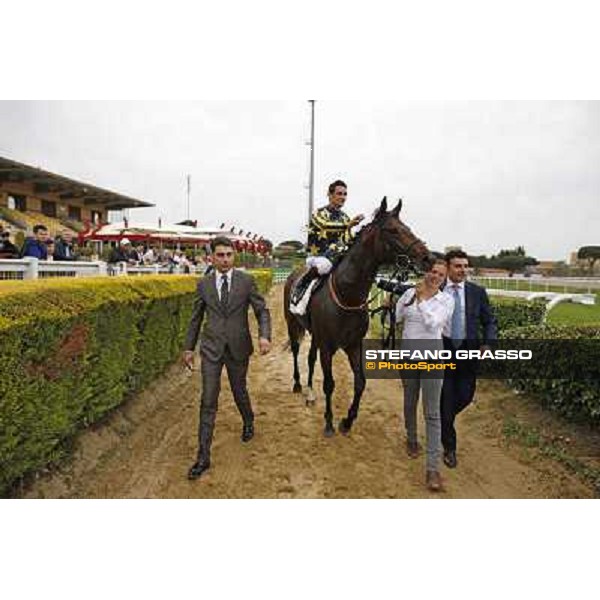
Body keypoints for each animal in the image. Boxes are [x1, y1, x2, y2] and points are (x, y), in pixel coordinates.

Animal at [284, 197, 434, 436]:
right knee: (297, 351)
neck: (348, 295)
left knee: (310, 358)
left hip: (315, 335)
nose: (428, 258)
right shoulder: (328, 346)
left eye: (407, 228)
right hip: (292, 324)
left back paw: (310, 394)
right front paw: (329, 422)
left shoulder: (353, 344)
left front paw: (347, 421)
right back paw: (298, 385)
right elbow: (329, 383)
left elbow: (360, 382)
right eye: (393, 230)